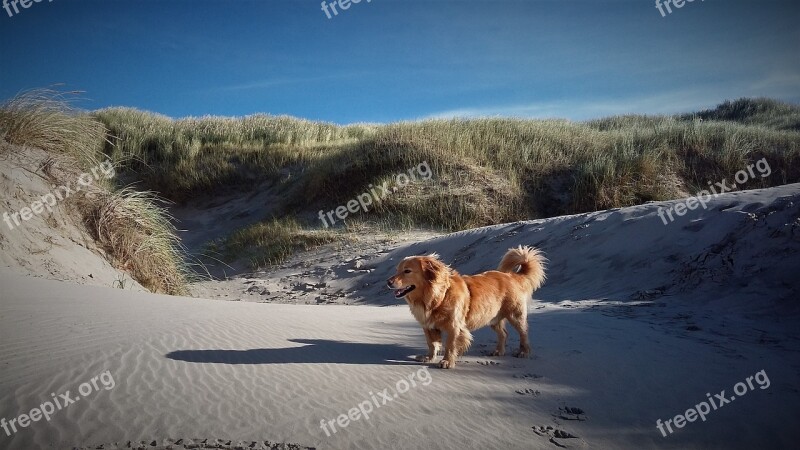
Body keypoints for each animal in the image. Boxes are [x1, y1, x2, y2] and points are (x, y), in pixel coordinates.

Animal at [386, 246, 548, 370]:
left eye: (407, 271)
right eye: (397, 270)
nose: (388, 282)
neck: (437, 297)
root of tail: (511, 276)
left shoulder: (454, 327)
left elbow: (450, 345)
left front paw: (447, 361)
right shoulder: (428, 326)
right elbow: (432, 344)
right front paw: (429, 357)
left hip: (515, 316)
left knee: (523, 333)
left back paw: (523, 352)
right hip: (492, 318)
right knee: (503, 334)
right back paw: (498, 351)